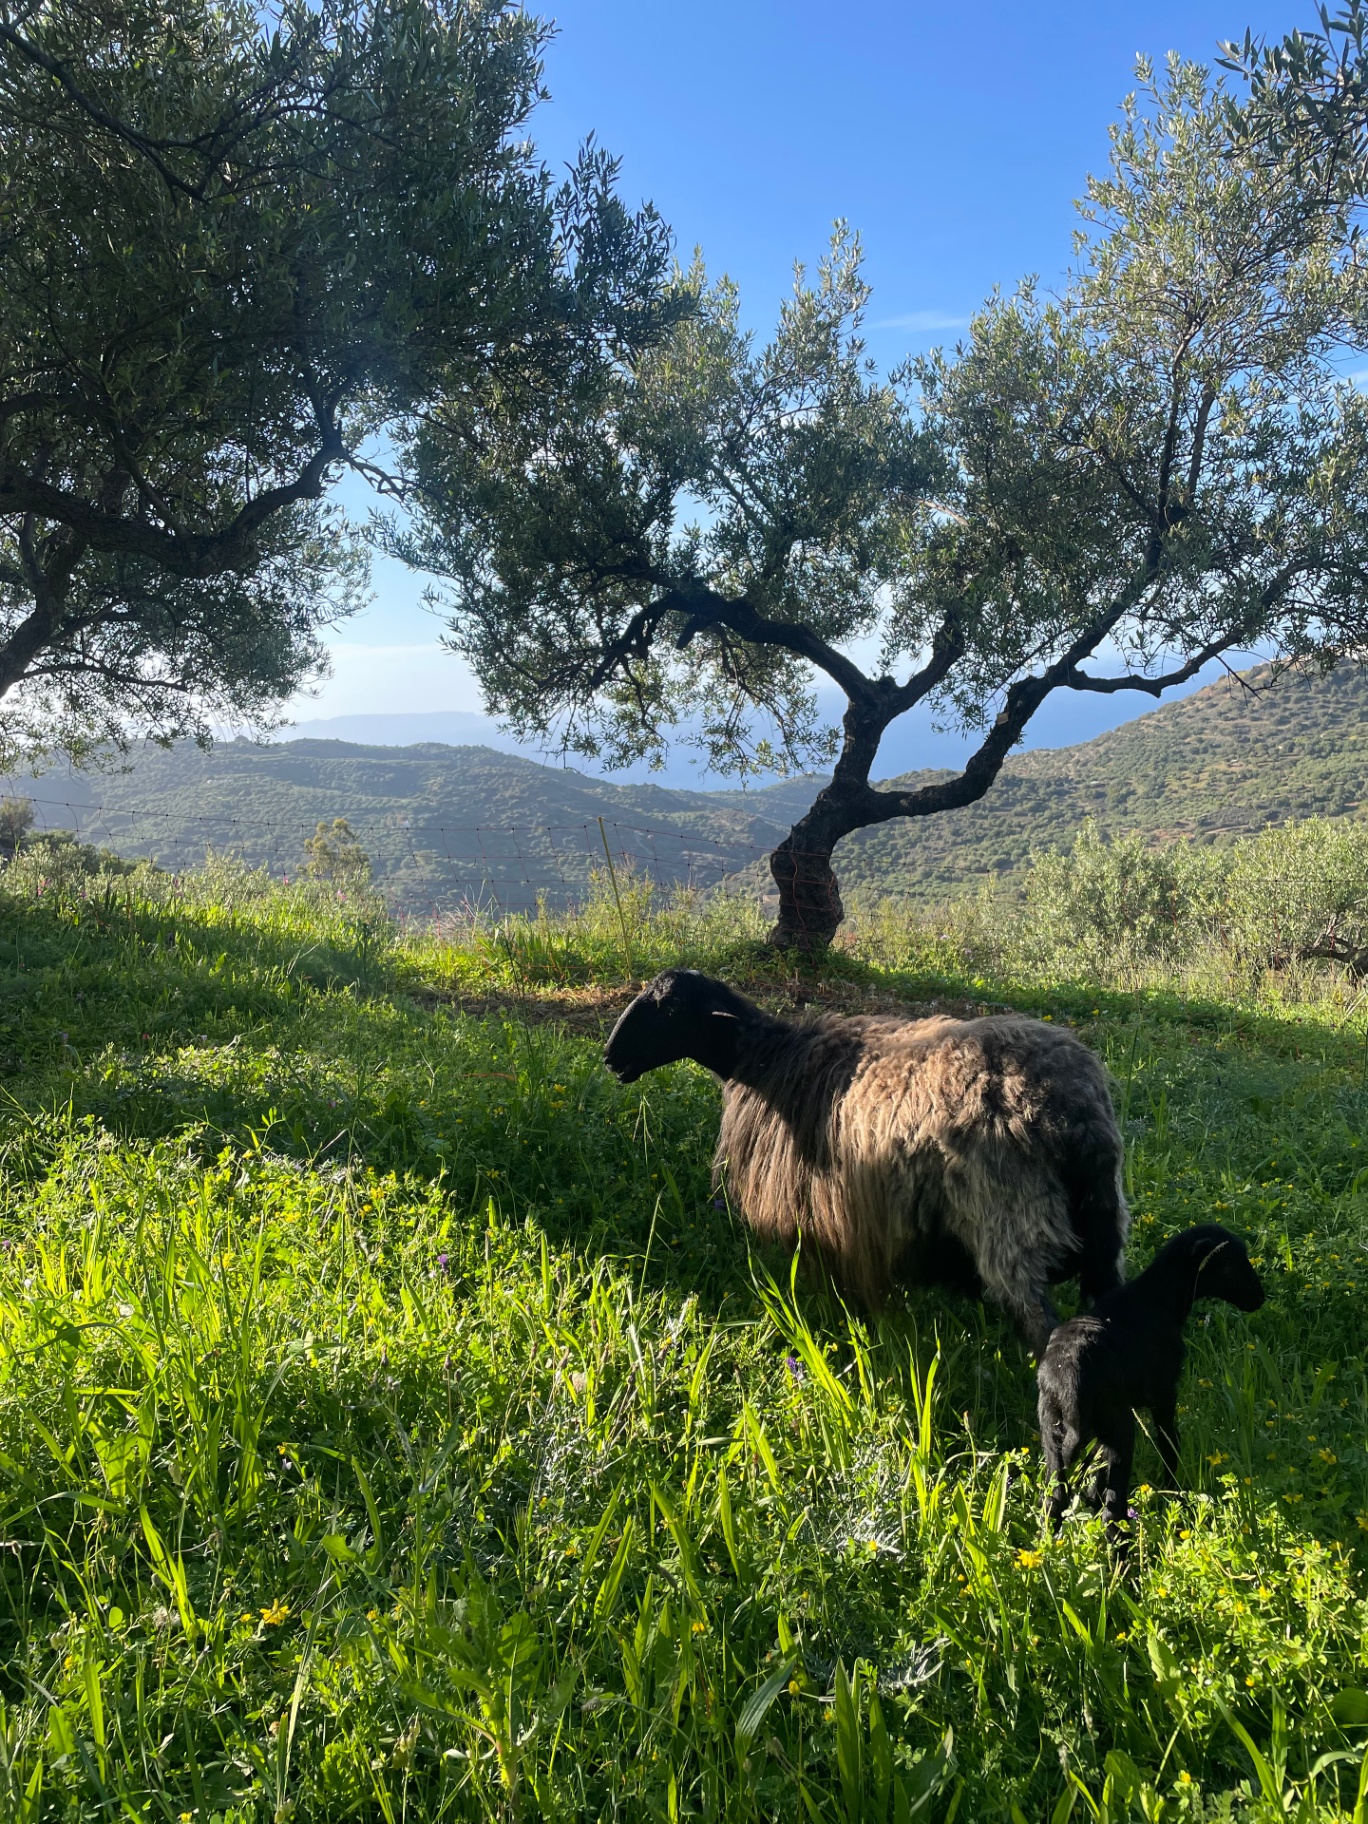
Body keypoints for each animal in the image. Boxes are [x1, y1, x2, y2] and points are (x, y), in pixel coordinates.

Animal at [603, 969, 1130, 1357]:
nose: (610, 1058)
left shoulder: (822, 1222)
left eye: (669, 1009)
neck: (765, 1060)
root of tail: (1066, 1114)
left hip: (1010, 1225)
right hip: (1105, 1228)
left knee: (1043, 1332)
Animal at [1036, 1222, 1265, 1536]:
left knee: (1053, 1499)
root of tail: (1067, 1380)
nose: (1260, 1298)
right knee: (1113, 1511)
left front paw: (1091, 1495)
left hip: (1053, 1431)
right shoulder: (1163, 1393)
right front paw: (1174, 1490)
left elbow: (1098, 1465)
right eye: (1230, 1264)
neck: (1160, 1297)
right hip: (1119, 1426)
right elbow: (1169, 1442)